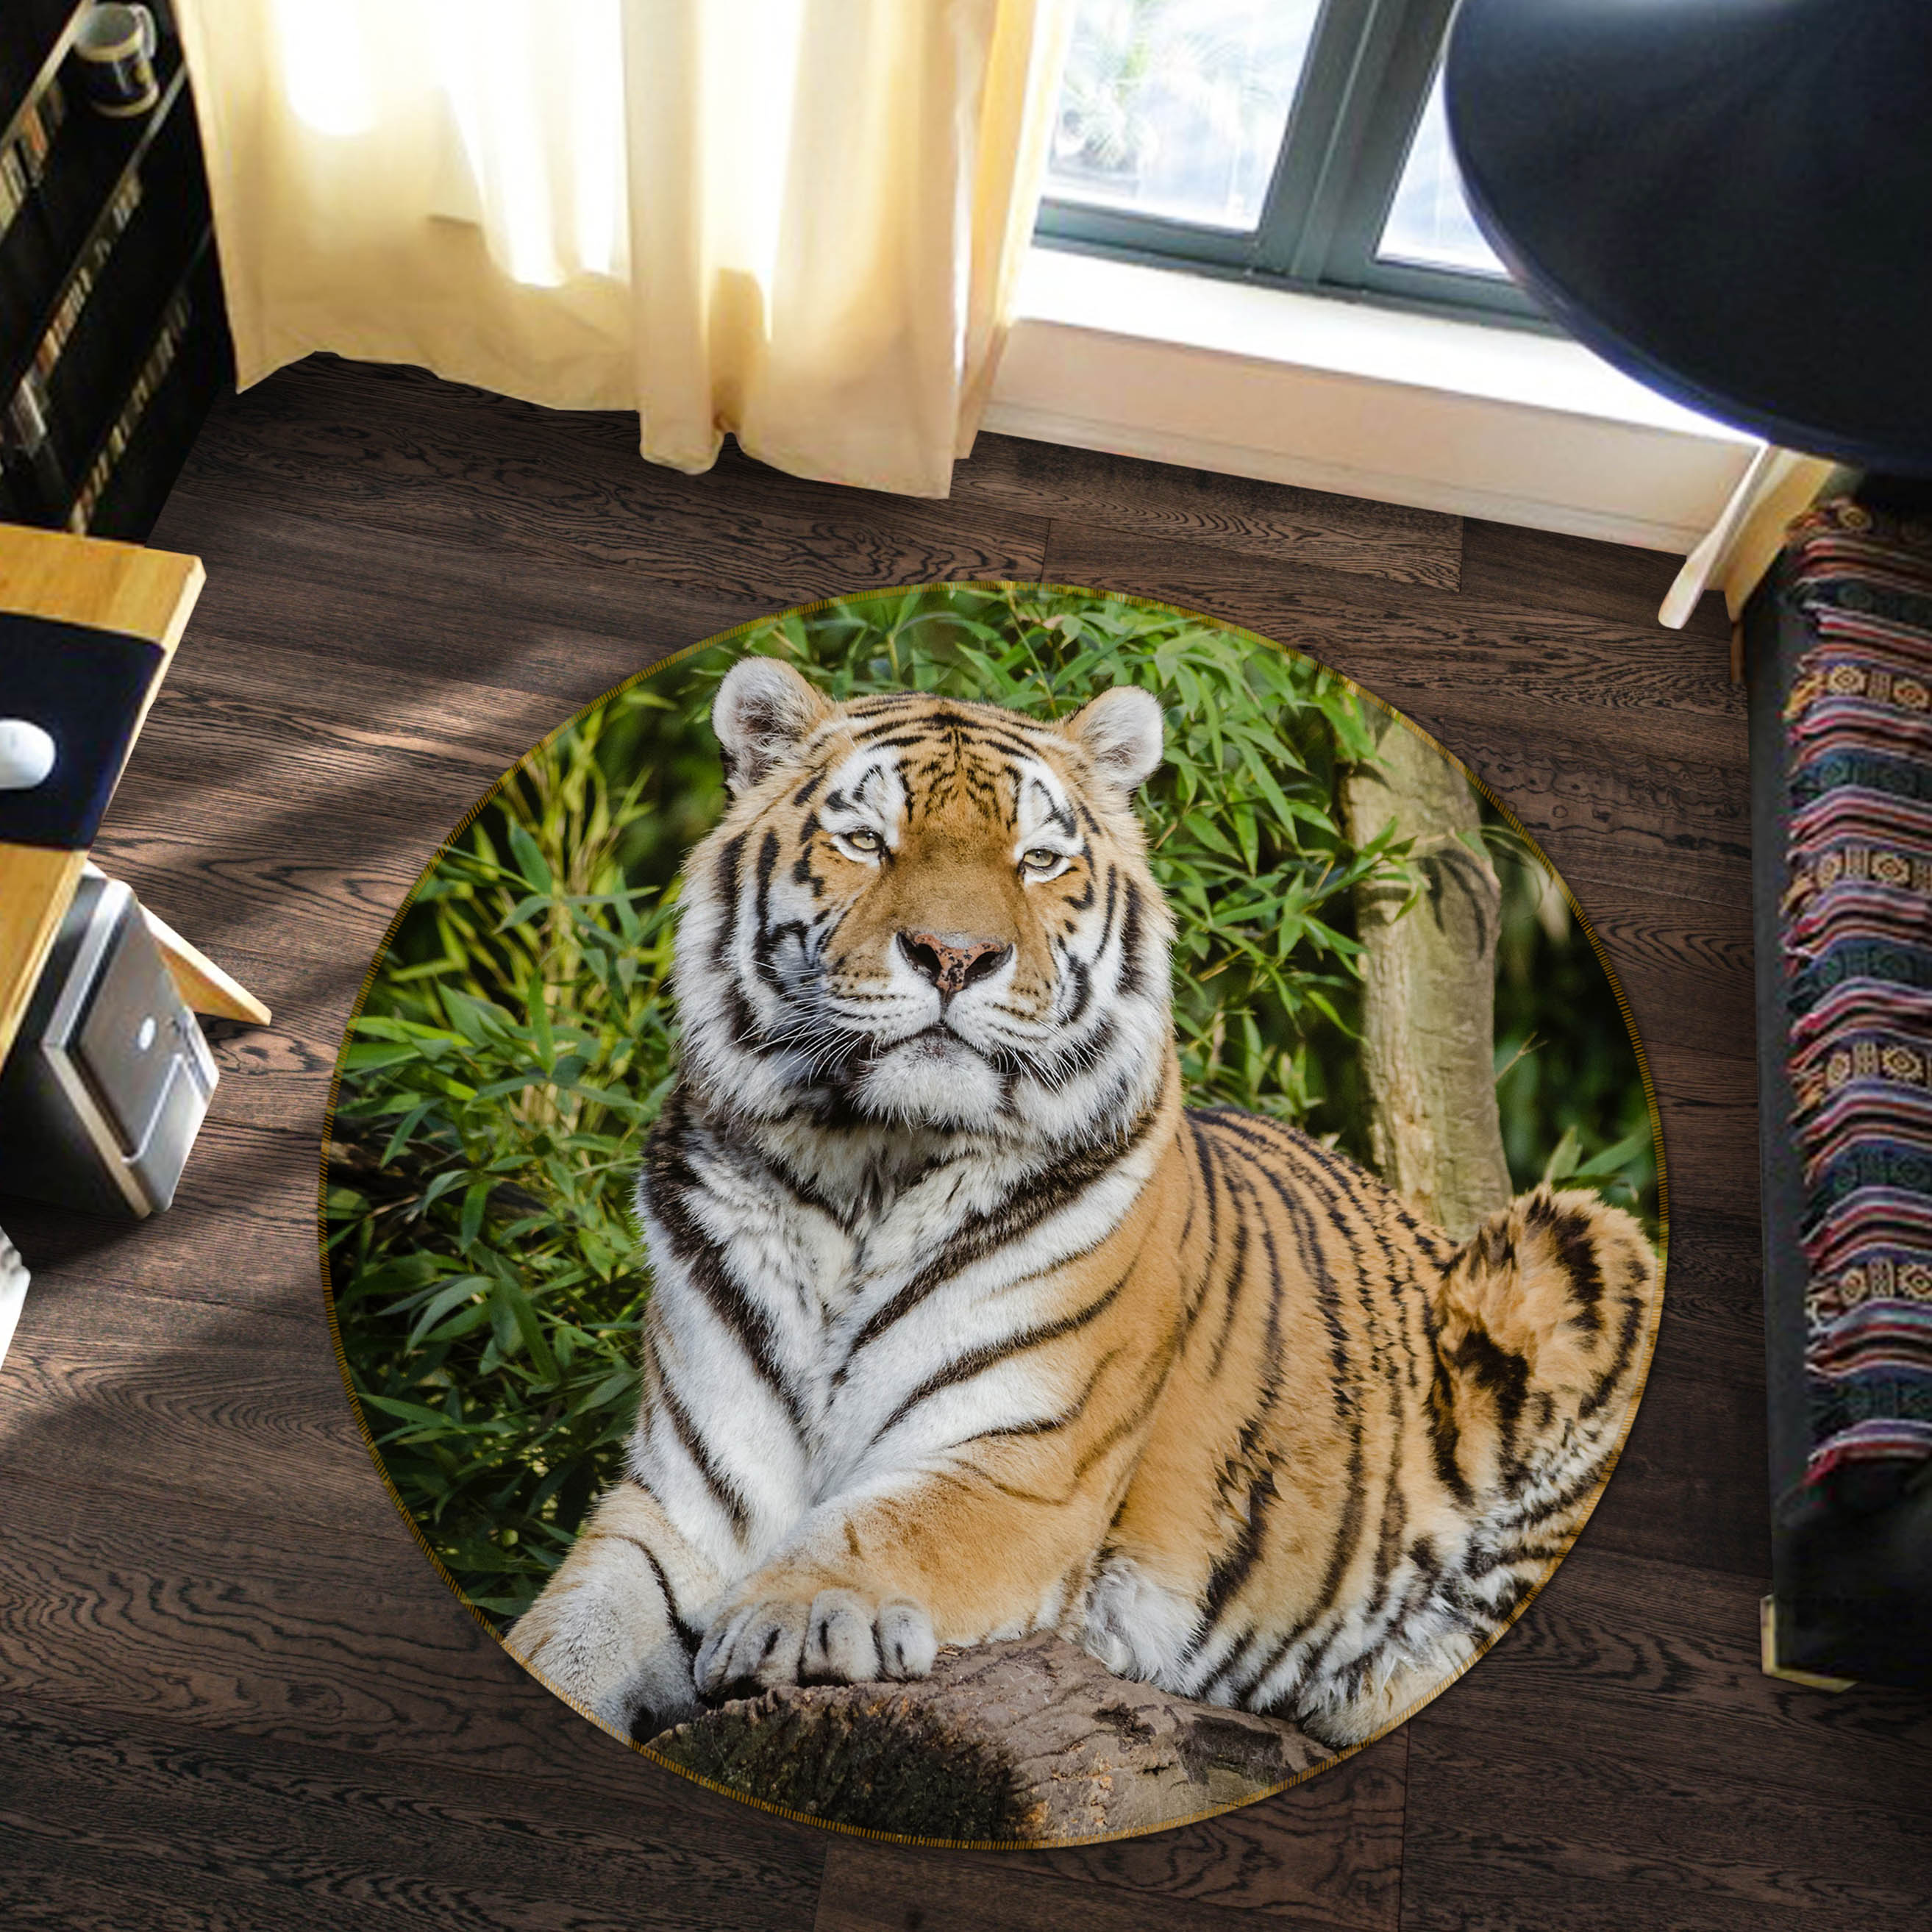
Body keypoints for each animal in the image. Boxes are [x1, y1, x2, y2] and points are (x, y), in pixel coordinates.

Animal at [505, 656, 1658, 1751]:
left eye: (1037, 860)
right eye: (867, 841)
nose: (955, 956)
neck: (864, 1168)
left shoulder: (1021, 1465)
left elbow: (881, 1526)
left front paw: (791, 1618)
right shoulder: (688, 1497)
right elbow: (569, 1628)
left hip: (1584, 1242)